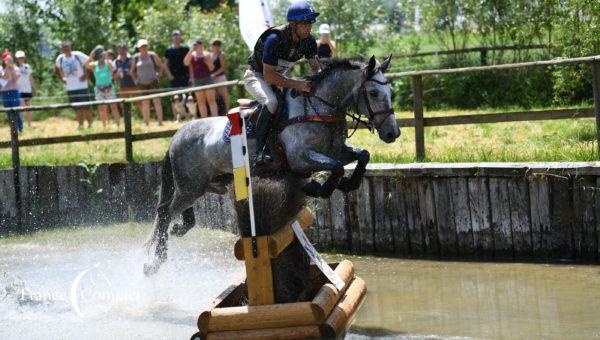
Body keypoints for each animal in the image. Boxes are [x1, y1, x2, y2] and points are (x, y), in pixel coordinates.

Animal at [143, 54, 400, 274]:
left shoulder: (335, 151)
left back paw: (177, 232)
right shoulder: (300, 157)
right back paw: (153, 264)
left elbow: (362, 155)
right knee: (165, 213)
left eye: (390, 92)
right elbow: (335, 167)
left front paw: (348, 183)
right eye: (374, 93)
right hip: (190, 187)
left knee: (176, 214)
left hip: (202, 185)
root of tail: (176, 136)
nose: (392, 133)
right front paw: (319, 187)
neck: (319, 108)